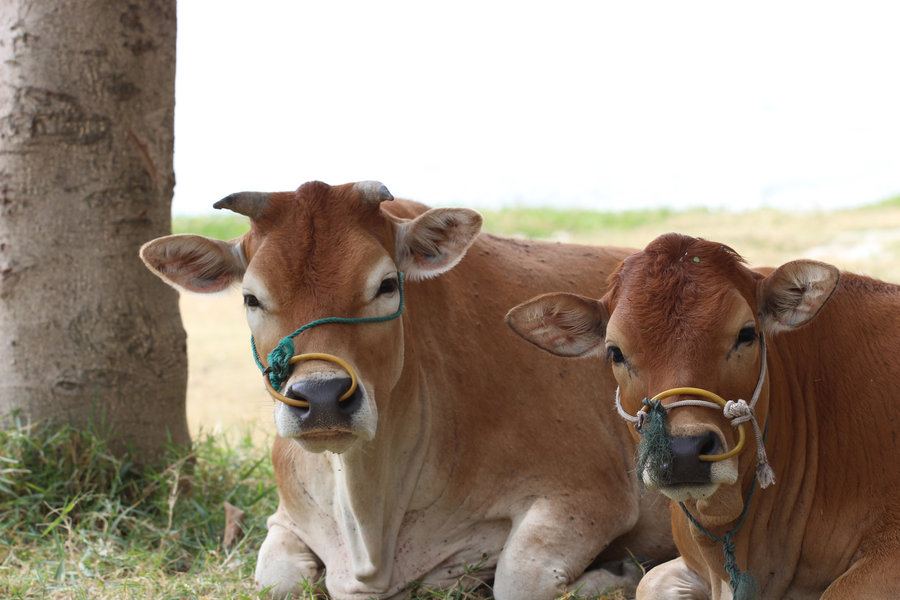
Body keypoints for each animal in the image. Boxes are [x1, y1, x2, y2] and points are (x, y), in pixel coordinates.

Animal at [139, 182, 676, 600]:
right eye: (251, 298)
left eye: (386, 285)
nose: (321, 398)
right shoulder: (285, 516)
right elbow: (279, 581)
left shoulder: (590, 496)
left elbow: (518, 581)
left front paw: (620, 572)